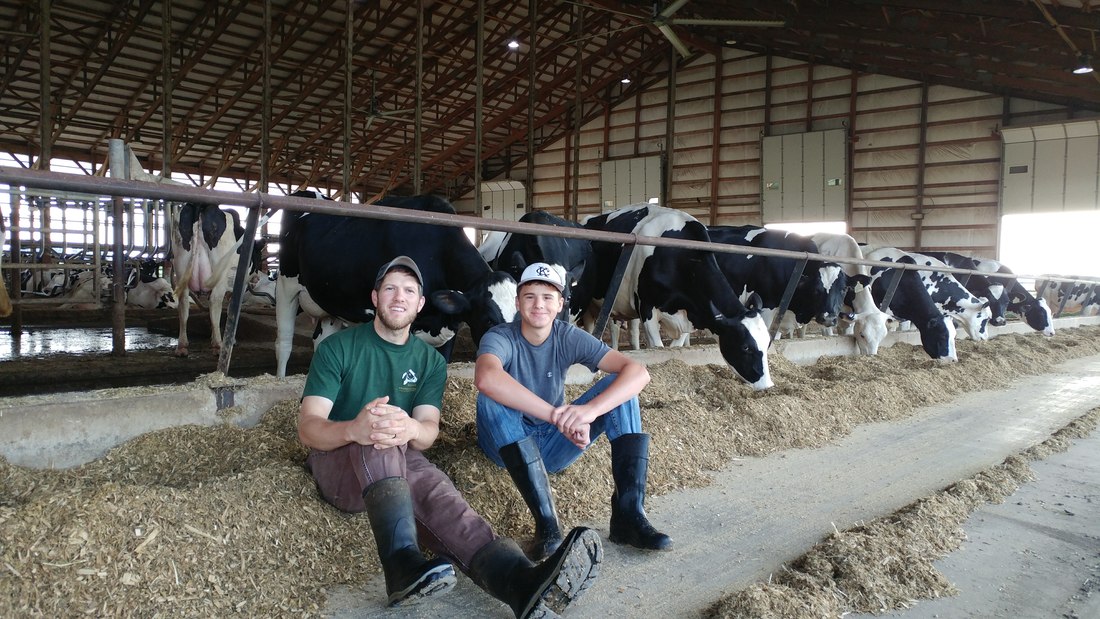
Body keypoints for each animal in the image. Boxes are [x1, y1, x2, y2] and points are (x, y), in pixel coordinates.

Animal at [272, 192, 517, 378]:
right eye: (489, 319)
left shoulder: (449, 327)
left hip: (331, 302)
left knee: (322, 341)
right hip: (286, 287)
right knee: (283, 342)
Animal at [580, 205, 770, 389]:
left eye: (768, 342)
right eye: (745, 347)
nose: (768, 385)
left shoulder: (689, 319)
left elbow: (674, 348)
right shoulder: (647, 308)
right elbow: (657, 347)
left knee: (630, 330)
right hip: (591, 304)